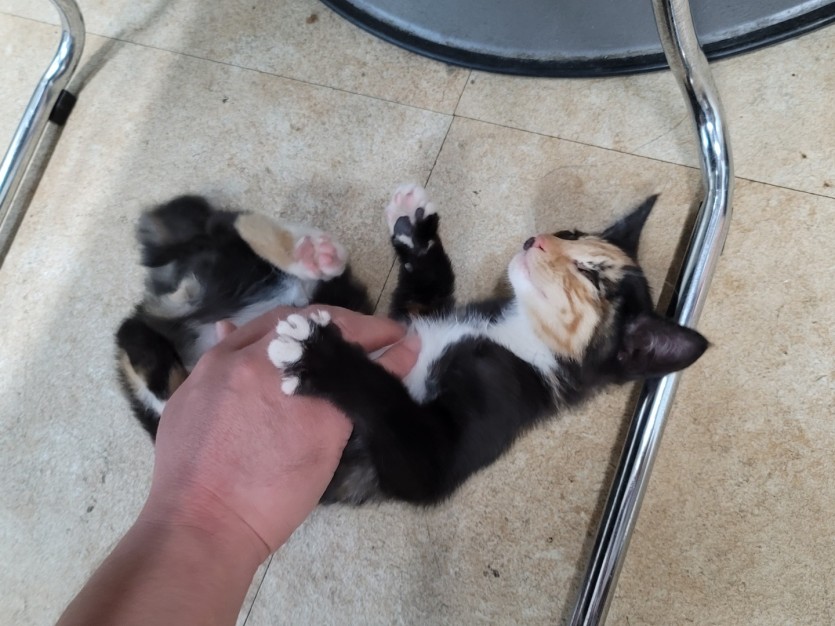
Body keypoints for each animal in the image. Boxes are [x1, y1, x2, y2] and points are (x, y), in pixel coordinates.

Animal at [117, 185, 708, 505]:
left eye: (591, 276)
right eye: (569, 232)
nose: (535, 240)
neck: (514, 335)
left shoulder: (440, 458)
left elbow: (391, 412)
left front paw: (321, 359)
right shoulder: (413, 316)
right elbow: (425, 284)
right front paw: (417, 232)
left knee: (148, 364)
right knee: (195, 252)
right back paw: (299, 250)